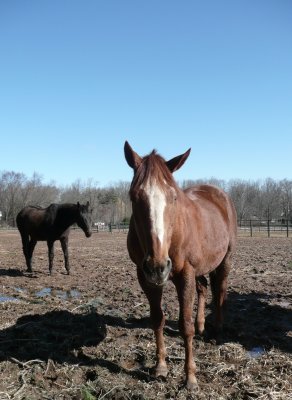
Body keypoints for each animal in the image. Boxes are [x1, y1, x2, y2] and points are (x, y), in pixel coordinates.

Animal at [124, 142, 237, 390]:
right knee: (204, 288)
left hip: (225, 260)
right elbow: (157, 319)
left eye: (173, 197)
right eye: (134, 197)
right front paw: (160, 366)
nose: (158, 266)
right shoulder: (144, 276)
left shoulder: (185, 273)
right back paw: (202, 325)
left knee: (220, 289)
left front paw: (190, 378)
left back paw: (218, 330)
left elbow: (185, 326)